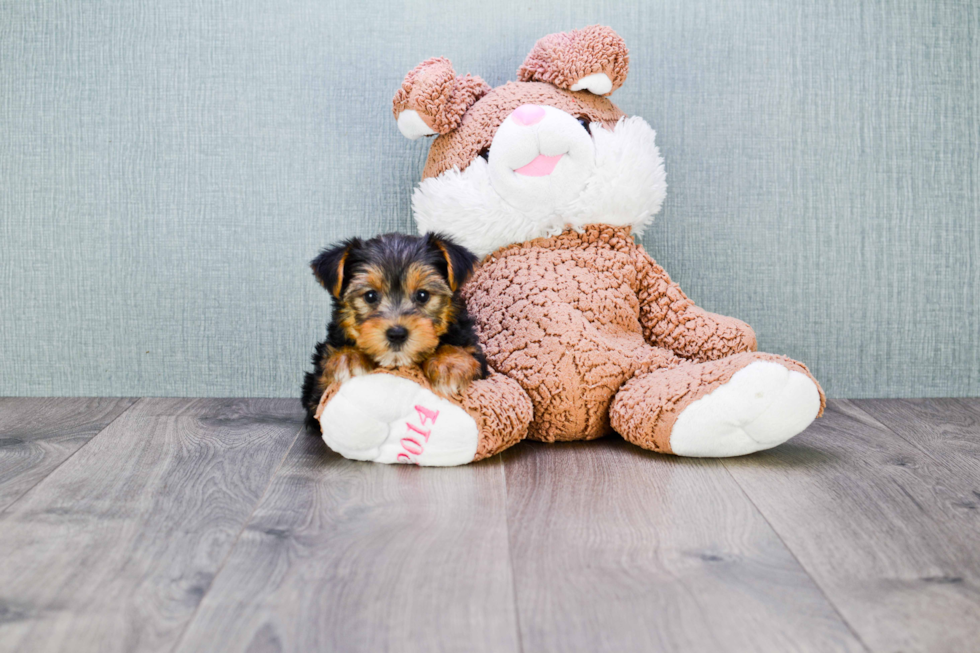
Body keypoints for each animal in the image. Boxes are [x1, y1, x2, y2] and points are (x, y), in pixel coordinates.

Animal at [300, 230, 488, 432]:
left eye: (423, 295)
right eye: (370, 296)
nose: (397, 334)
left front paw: (450, 365)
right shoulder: (314, 389)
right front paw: (348, 358)